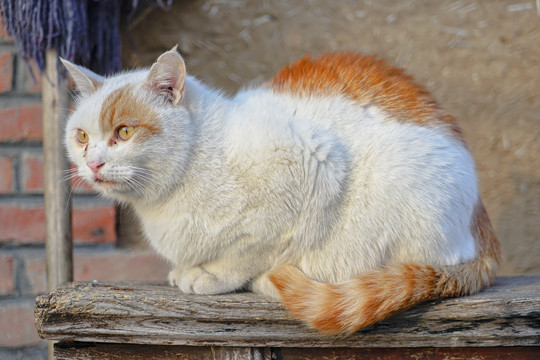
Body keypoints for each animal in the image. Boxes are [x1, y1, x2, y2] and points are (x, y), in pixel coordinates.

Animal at [61, 47, 500, 334]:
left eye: (124, 132)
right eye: (81, 136)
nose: (92, 162)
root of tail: (484, 232)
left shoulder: (315, 163)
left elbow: (252, 250)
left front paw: (214, 275)